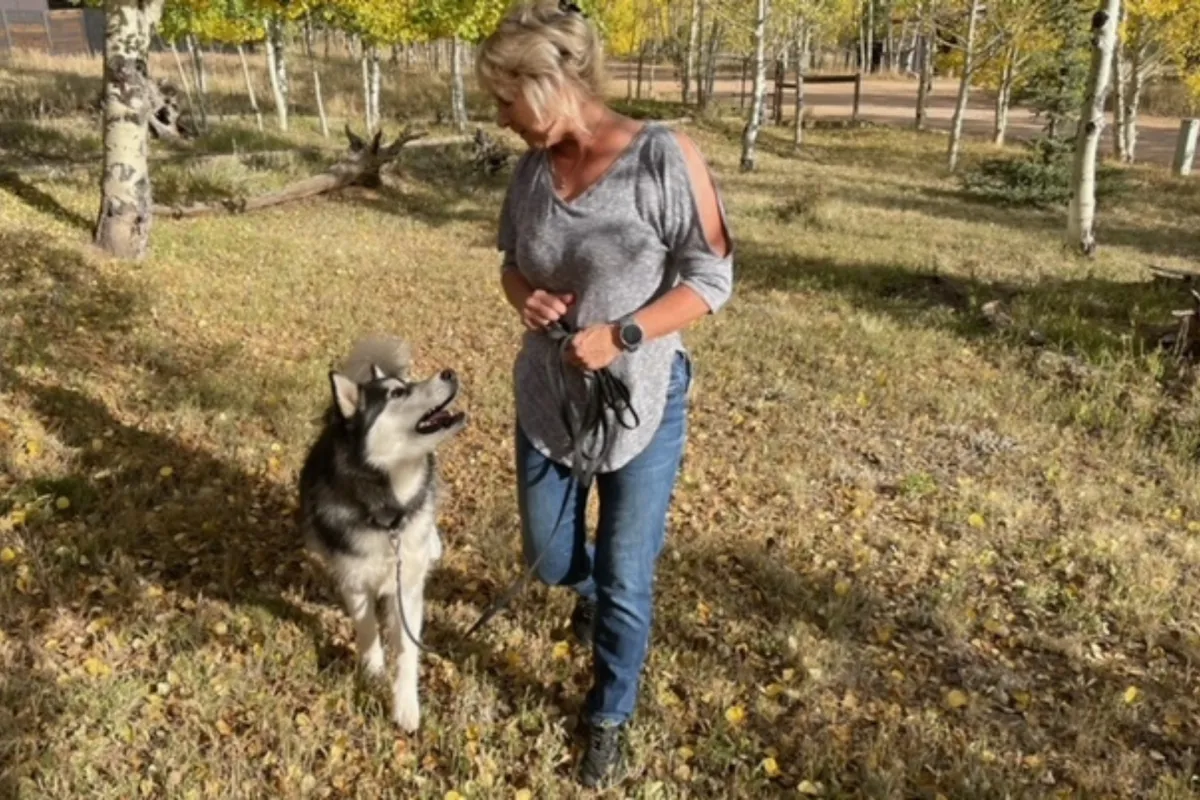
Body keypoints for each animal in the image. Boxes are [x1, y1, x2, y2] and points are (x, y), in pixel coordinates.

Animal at [297, 335, 465, 734]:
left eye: (406, 385)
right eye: (397, 394)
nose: (449, 372)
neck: (390, 513)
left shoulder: (408, 588)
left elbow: (406, 650)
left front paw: (405, 705)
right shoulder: (355, 581)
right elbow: (367, 627)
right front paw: (372, 671)